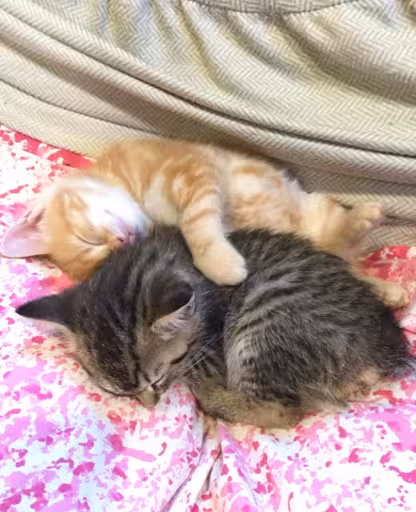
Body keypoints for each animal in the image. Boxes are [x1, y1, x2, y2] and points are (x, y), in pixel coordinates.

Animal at [1, 138, 407, 306]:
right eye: (102, 256)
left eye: (88, 240)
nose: (120, 242)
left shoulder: (193, 171)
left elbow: (197, 225)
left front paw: (219, 263)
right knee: (341, 259)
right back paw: (387, 290)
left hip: (315, 211)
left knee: (338, 239)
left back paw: (364, 219)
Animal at [16, 226, 415, 428]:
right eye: (119, 394)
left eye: (156, 380)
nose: (150, 405)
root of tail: (382, 348)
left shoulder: (210, 350)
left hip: (264, 321)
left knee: (284, 412)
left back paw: (211, 397)